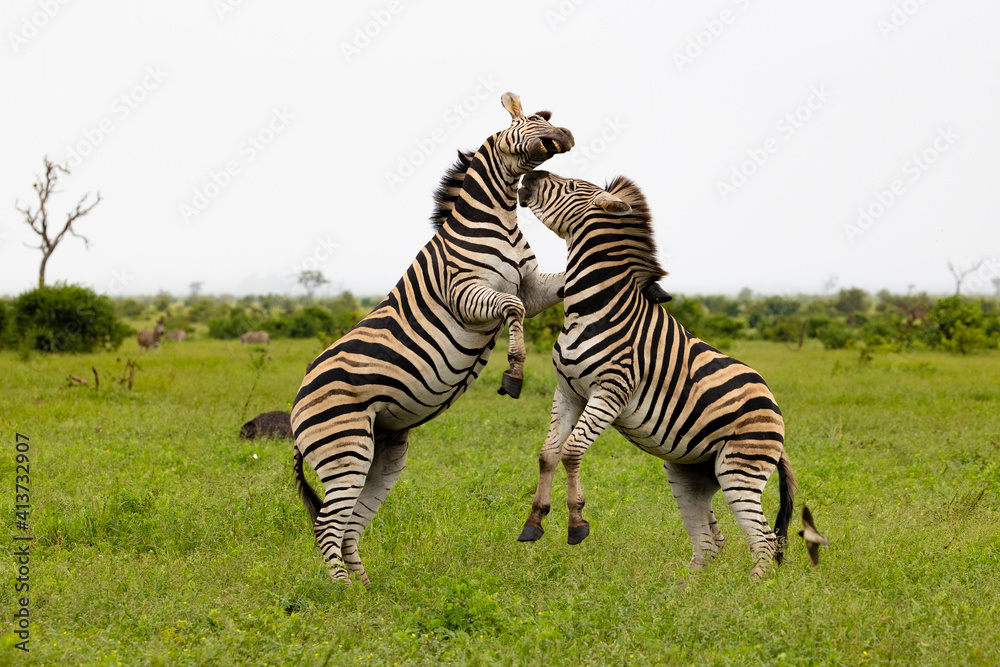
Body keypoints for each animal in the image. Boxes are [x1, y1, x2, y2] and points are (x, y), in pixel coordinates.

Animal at [290, 93, 574, 586]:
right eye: (527, 123)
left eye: (548, 119)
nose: (566, 135)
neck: (499, 220)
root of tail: (296, 405)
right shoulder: (465, 292)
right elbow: (513, 311)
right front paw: (514, 372)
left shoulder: (533, 286)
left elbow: (546, 292)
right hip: (344, 447)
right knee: (327, 524)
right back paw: (341, 593)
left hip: (382, 451)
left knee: (349, 527)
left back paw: (365, 592)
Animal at [516, 170, 797, 579]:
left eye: (570, 186)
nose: (530, 175)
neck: (591, 309)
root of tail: (775, 411)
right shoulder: (568, 391)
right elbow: (548, 453)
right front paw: (534, 522)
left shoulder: (609, 392)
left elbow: (571, 451)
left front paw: (576, 524)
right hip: (689, 473)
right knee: (710, 542)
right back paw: (685, 590)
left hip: (739, 469)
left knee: (764, 538)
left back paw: (753, 590)